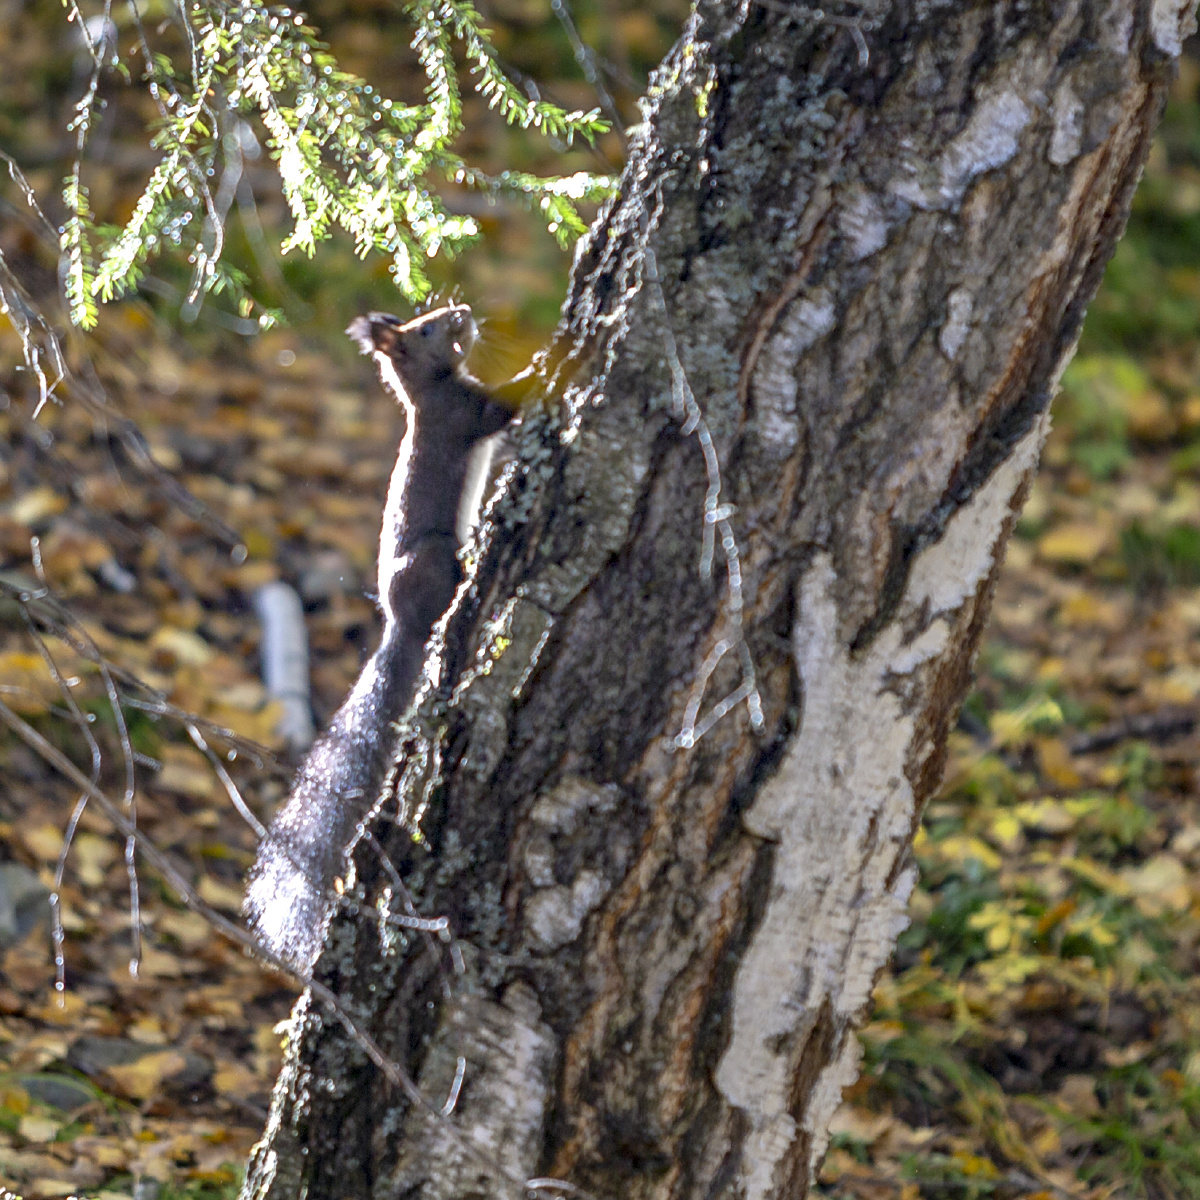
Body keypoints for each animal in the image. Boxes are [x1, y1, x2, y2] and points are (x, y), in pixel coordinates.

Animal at [243, 304, 514, 973]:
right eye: (427, 328)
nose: (464, 313)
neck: (429, 390)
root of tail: (401, 628)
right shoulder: (466, 413)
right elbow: (509, 407)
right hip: (432, 557)